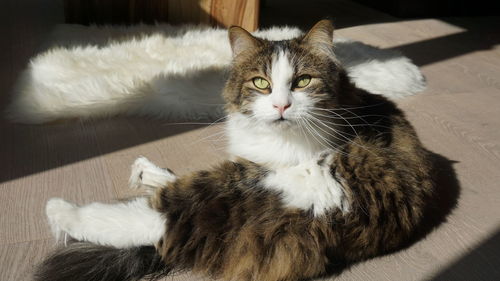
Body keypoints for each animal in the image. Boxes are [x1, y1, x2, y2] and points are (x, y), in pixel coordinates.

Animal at [35, 20, 434, 280]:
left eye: (303, 81)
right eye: (261, 83)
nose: (281, 106)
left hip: (248, 186)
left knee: (156, 217)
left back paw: (60, 211)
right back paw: (146, 171)